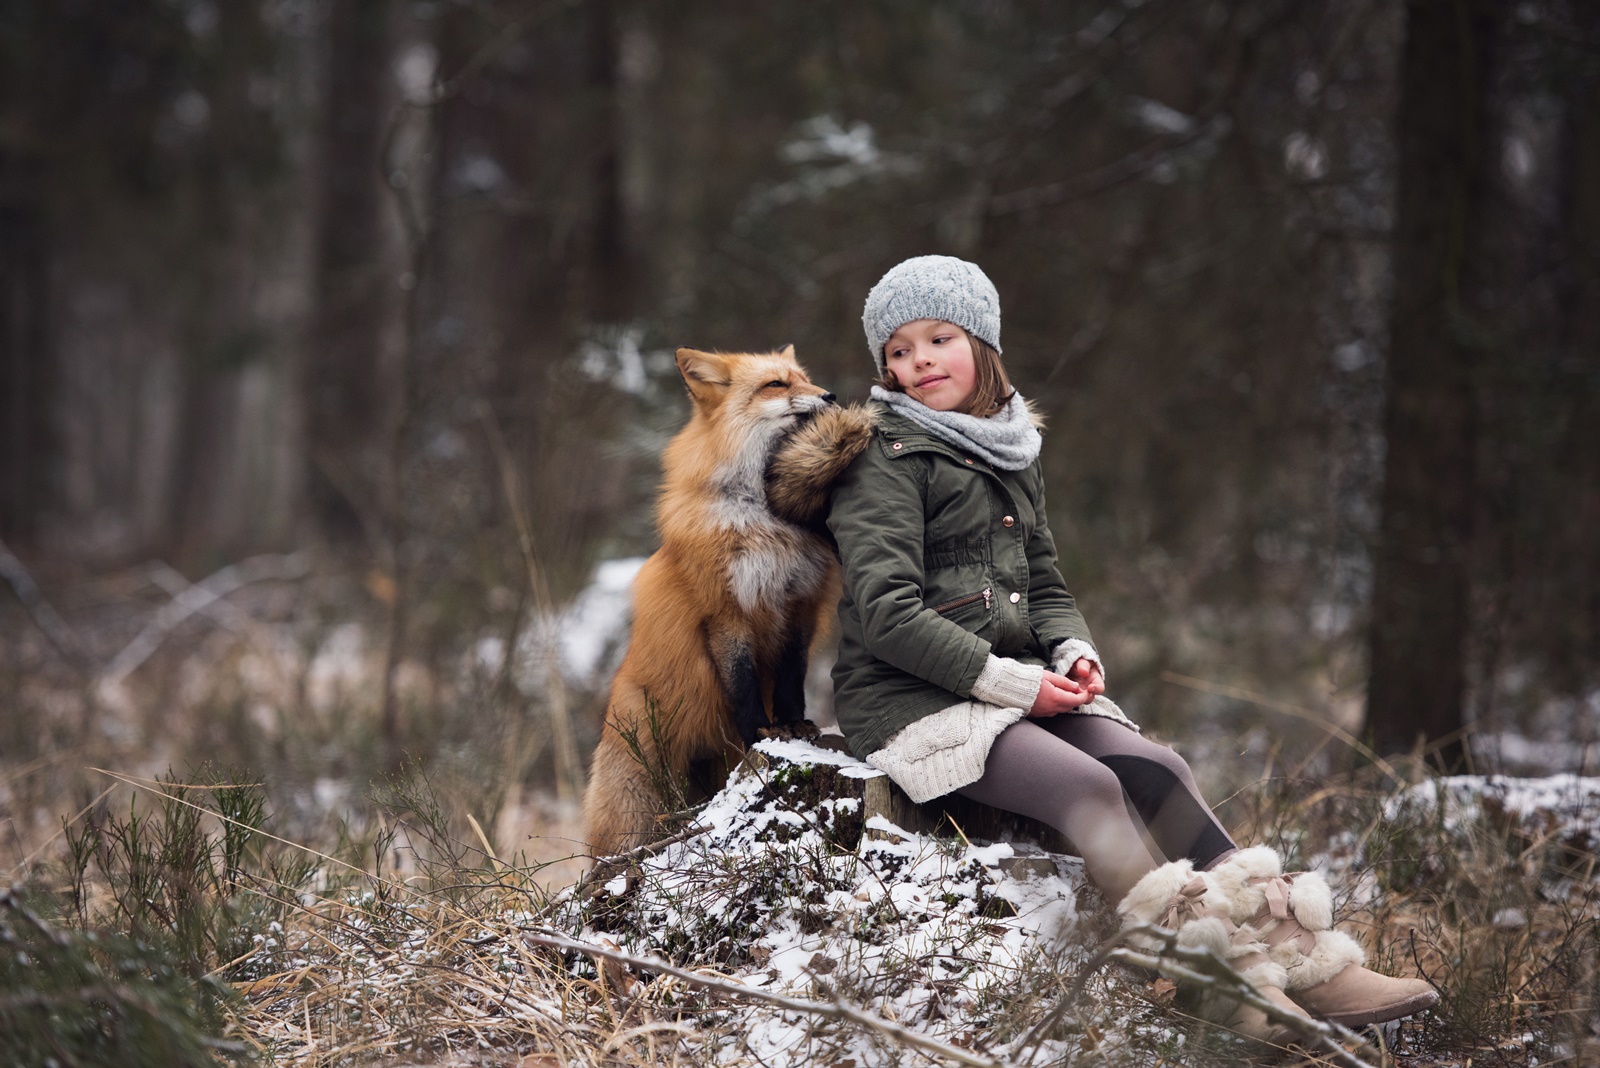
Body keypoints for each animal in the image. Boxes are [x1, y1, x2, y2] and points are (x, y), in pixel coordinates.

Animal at [582, 346, 870, 856]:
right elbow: (742, 684)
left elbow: (791, 677)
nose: (831, 396)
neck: (767, 524)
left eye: (805, 379)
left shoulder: (798, 603)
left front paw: (793, 725)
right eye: (776, 384)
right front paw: (761, 731)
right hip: (635, 807)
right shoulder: (724, 610)